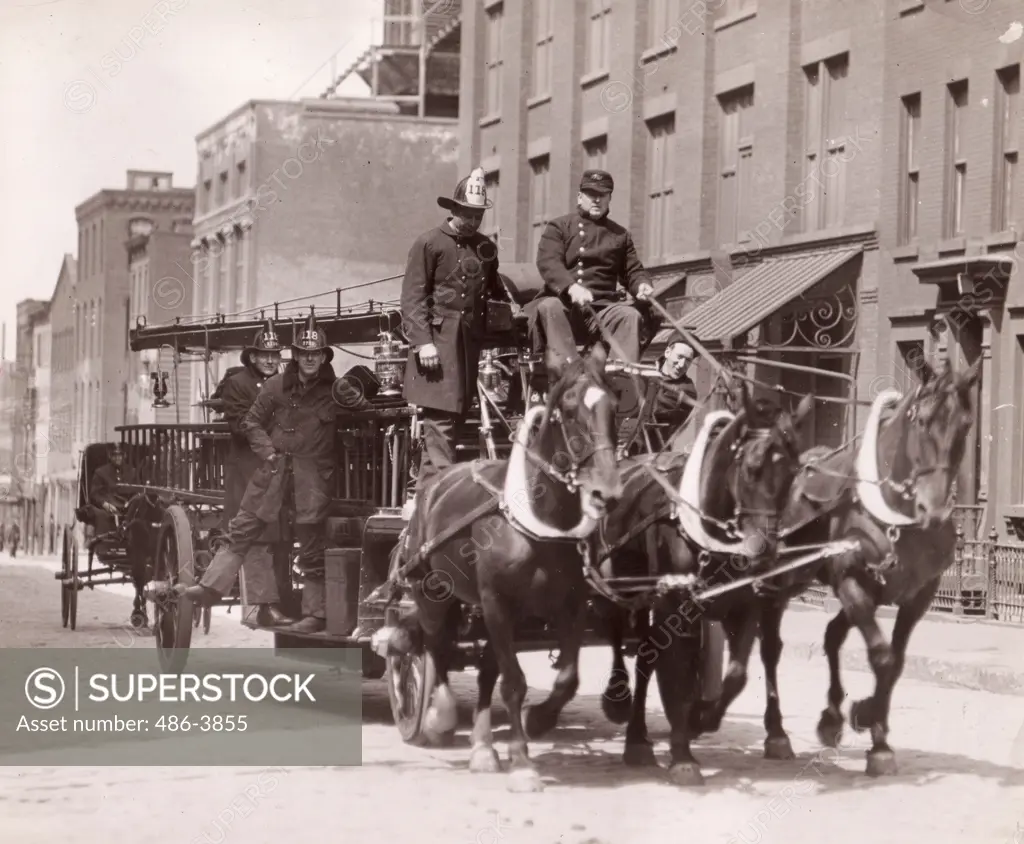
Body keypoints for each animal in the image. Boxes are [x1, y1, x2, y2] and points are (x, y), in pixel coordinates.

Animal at [385, 342, 618, 790]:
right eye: (568, 410)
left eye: (614, 406)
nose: (606, 493)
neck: (537, 522)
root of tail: (433, 484)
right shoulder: (497, 602)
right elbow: (513, 683)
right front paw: (523, 762)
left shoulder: (570, 606)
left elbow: (566, 678)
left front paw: (539, 720)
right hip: (432, 592)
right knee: (434, 644)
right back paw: (440, 715)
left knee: (483, 668)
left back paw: (483, 748)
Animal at [589, 383, 811, 786]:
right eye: (751, 469)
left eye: (793, 473)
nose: (766, 550)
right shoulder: (674, 607)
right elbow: (676, 673)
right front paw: (682, 755)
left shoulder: (746, 604)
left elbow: (736, 675)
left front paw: (701, 717)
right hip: (621, 585)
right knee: (624, 639)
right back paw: (621, 706)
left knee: (649, 653)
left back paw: (641, 738)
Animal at [700, 350, 978, 778]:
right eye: (923, 421)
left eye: (965, 426)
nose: (932, 510)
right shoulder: (851, 582)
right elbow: (881, 656)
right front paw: (869, 725)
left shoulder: (917, 595)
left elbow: (894, 661)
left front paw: (873, 731)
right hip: (774, 585)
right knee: (770, 649)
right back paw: (776, 731)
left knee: (821, 637)